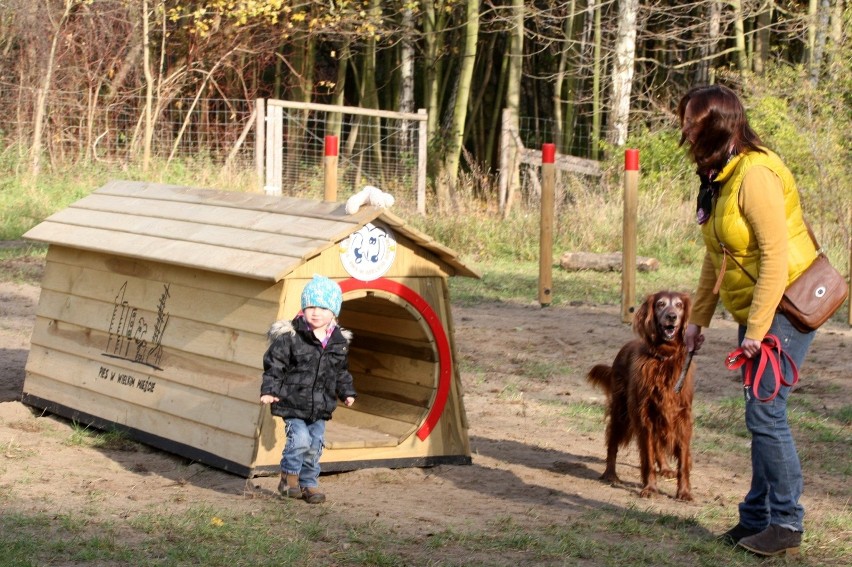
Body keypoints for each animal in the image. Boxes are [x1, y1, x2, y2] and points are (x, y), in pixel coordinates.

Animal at [588, 292, 696, 502]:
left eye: (679, 305)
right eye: (661, 304)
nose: (672, 316)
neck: (664, 358)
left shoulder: (681, 417)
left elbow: (683, 460)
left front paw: (684, 492)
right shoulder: (645, 415)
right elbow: (648, 455)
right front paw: (650, 488)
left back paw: (665, 468)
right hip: (621, 411)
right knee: (612, 442)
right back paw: (610, 474)